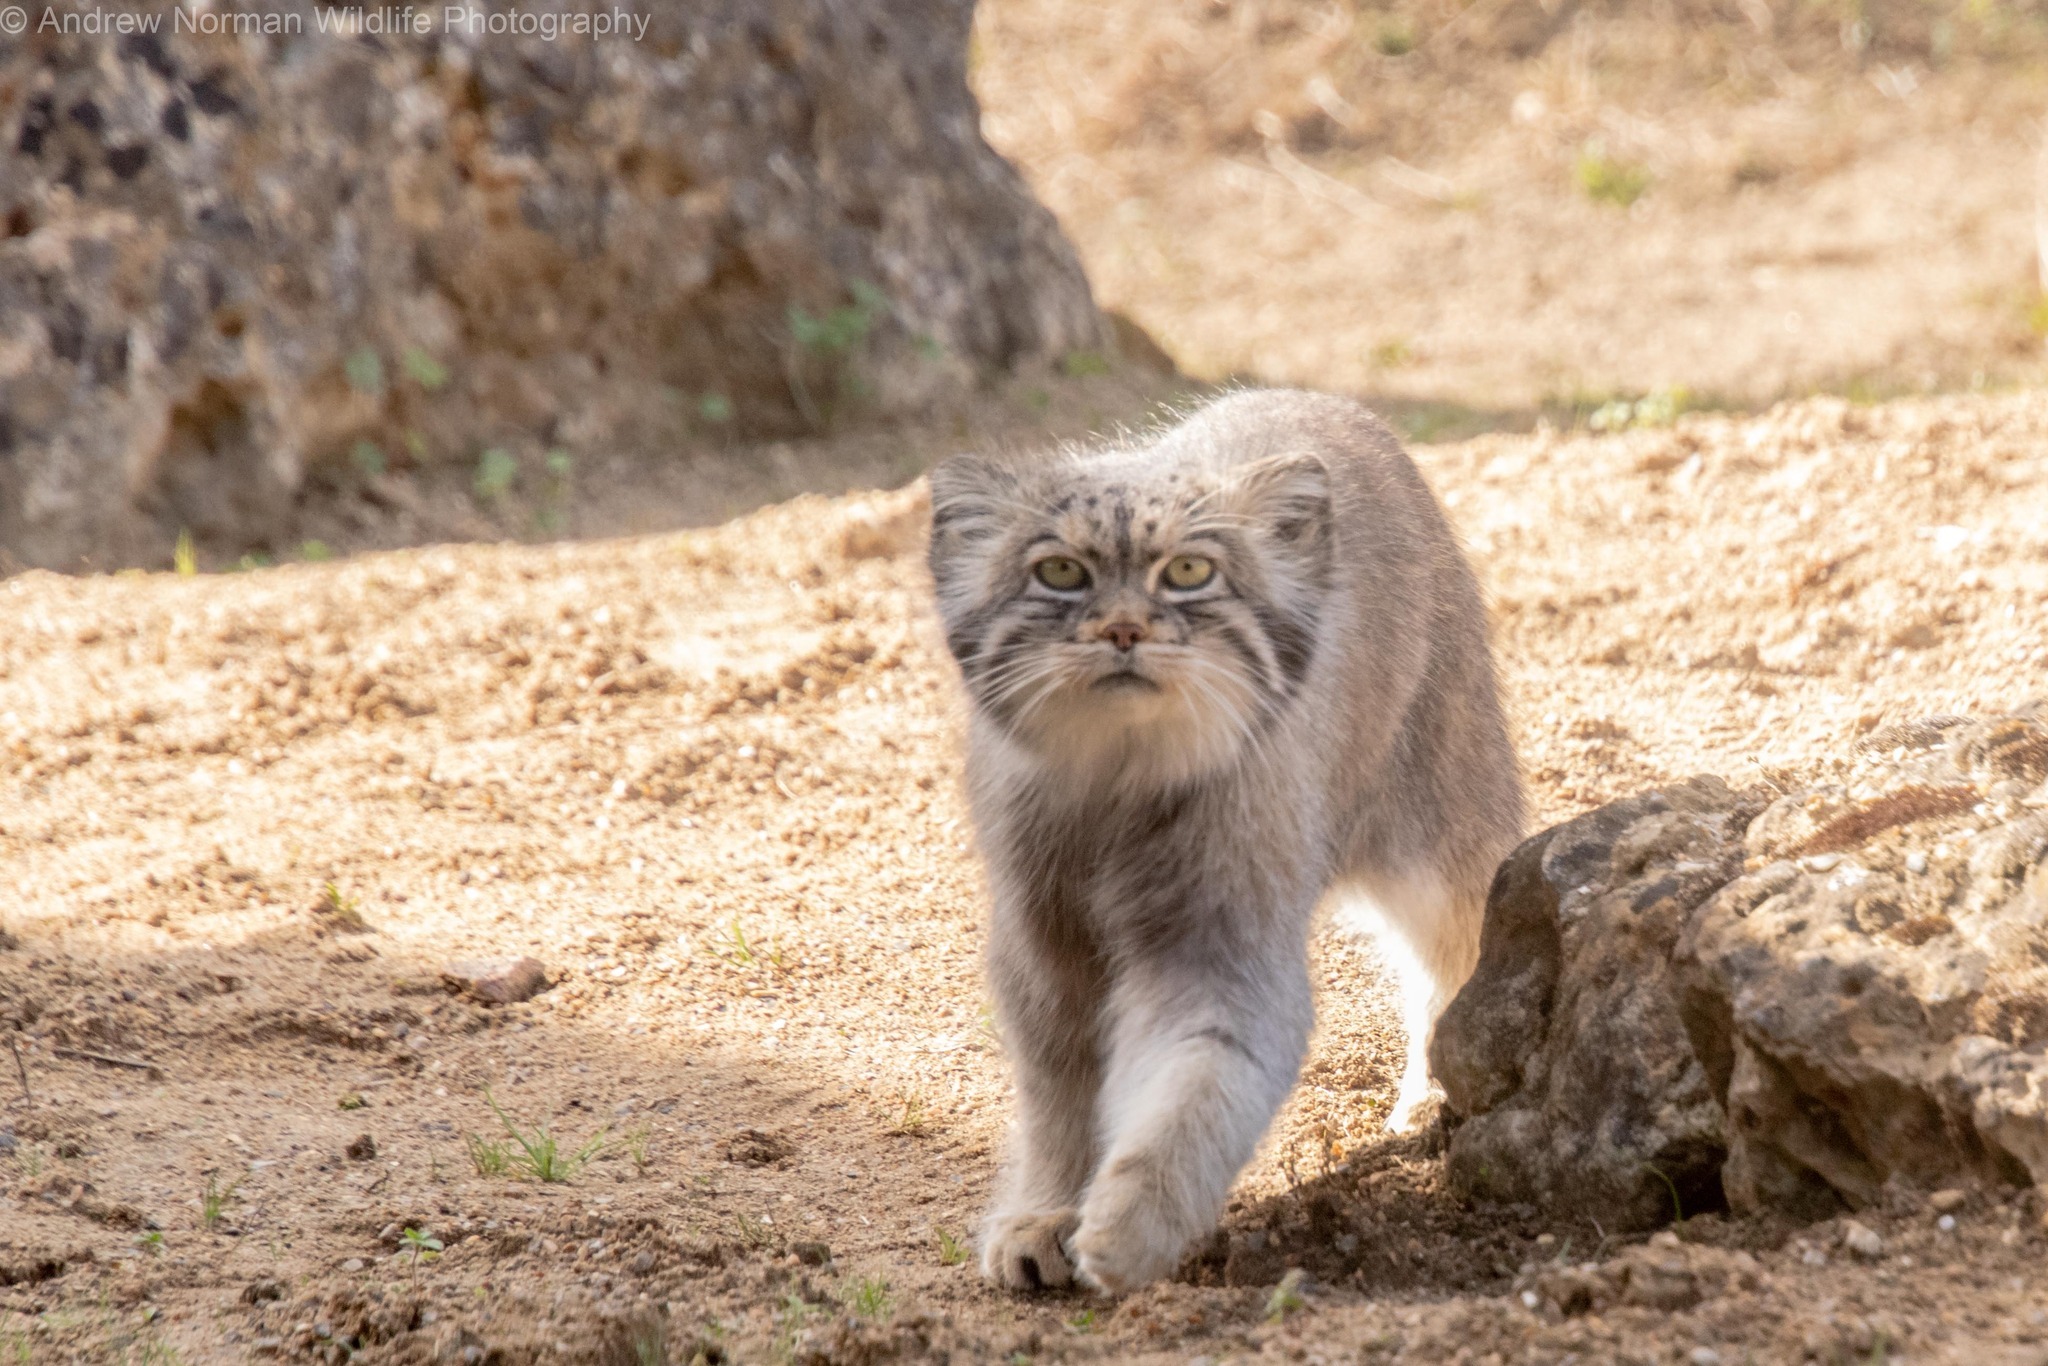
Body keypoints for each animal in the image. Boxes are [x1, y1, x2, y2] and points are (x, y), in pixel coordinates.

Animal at [929, 387, 1523, 1294]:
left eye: (1188, 572)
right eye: (1060, 573)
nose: (1124, 629)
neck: (1119, 782)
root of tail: (1322, 399)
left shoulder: (1219, 950)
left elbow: (1192, 1092)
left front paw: (1131, 1224)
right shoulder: (1042, 952)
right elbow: (1060, 1103)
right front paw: (1044, 1212)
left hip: (1444, 836)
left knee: (1456, 954)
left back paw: (1435, 1098)